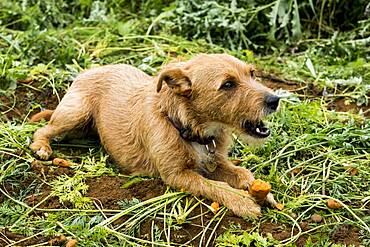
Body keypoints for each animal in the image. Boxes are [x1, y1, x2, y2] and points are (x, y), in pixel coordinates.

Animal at [31, 54, 280, 218]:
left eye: (252, 74)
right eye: (228, 84)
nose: (275, 100)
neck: (185, 126)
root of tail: (89, 70)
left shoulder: (216, 160)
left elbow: (243, 173)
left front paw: (264, 194)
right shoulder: (177, 175)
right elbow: (212, 185)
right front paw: (242, 201)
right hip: (75, 113)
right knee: (43, 129)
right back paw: (42, 147)